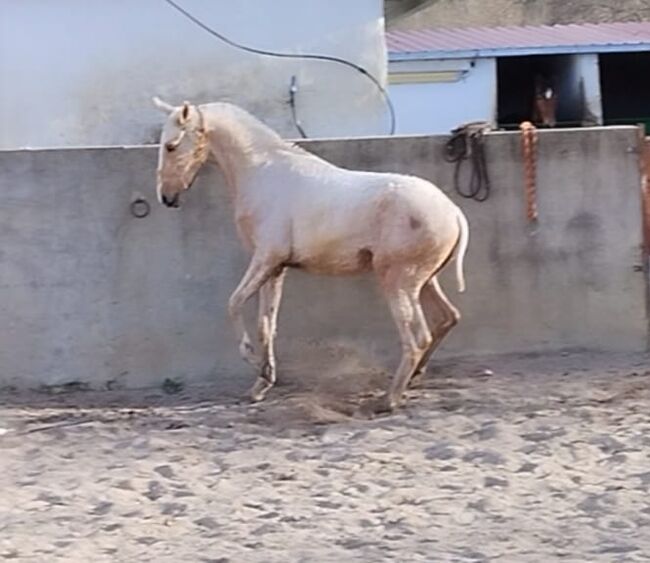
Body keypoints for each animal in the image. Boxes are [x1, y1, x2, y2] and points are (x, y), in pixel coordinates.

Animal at [152, 99, 466, 412]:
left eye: (171, 146)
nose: (167, 197)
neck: (263, 174)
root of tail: (453, 212)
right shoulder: (275, 268)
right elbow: (266, 324)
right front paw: (262, 383)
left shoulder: (265, 258)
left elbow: (234, 304)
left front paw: (253, 361)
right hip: (425, 282)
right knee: (448, 318)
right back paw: (414, 378)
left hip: (398, 282)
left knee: (418, 338)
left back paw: (388, 399)